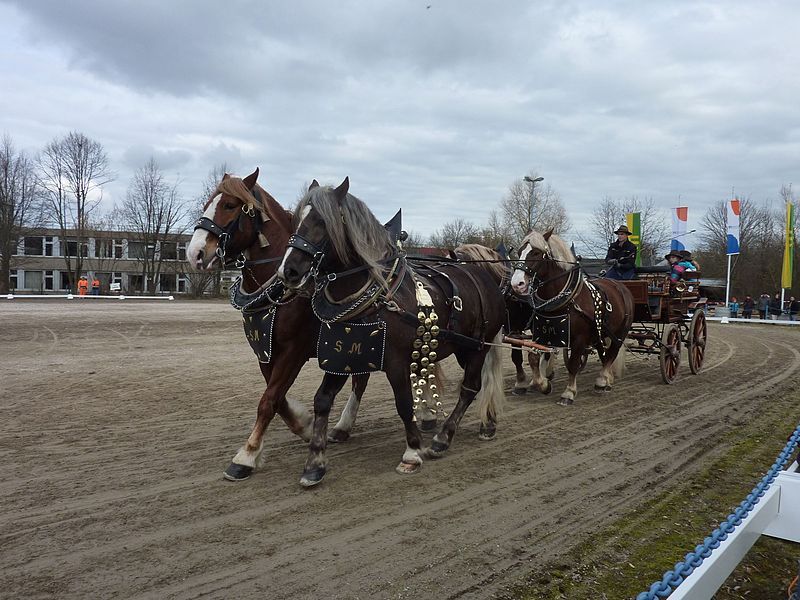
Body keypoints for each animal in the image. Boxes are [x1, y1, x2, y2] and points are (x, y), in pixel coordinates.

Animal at [188, 170, 372, 482]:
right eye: (207, 204)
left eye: (230, 205)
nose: (195, 252)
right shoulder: (265, 351)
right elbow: (277, 398)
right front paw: (306, 426)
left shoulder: (294, 351)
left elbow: (268, 400)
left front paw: (246, 455)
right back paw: (342, 427)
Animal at [280, 178, 506, 488]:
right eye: (296, 220)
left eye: (322, 222)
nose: (288, 271)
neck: (377, 297)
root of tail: (484, 276)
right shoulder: (343, 355)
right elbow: (322, 400)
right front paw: (314, 463)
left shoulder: (397, 361)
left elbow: (404, 402)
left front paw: (412, 451)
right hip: (464, 347)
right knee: (481, 382)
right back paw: (488, 423)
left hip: (477, 346)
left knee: (470, 387)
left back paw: (443, 438)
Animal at [510, 227, 636, 406]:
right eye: (520, 251)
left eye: (536, 252)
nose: (516, 284)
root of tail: (620, 286)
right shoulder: (542, 333)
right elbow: (533, 357)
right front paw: (543, 384)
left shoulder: (579, 339)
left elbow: (573, 363)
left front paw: (568, 393)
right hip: (600, 332)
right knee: (603, 353)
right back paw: (605, 380)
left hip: (620, 332)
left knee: (612, 352)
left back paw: (602, 380)